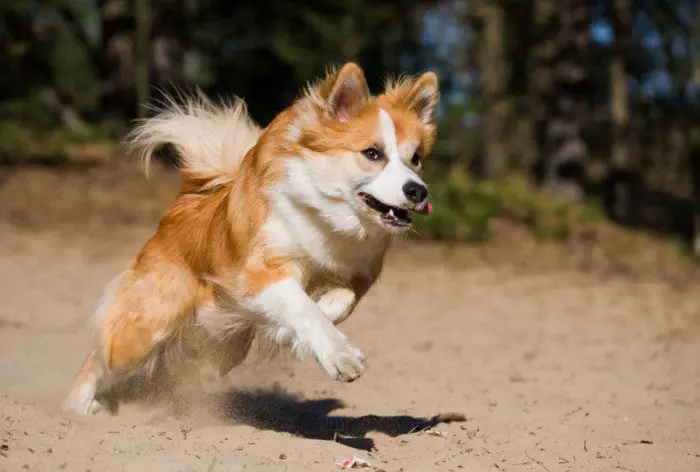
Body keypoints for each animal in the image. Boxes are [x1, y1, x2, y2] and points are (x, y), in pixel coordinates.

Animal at [63, 63, 440, 416]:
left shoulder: (356, 275)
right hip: (149, 326)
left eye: (416, 159)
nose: (418, 191)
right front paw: (339, 354)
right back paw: (79, 407)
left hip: (218, 342)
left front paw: (288, 333)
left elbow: (338, 303)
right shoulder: (261, 271)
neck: (328, 217)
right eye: (373, 153)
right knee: (100, 356)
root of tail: (182, 205)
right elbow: (303, 307)